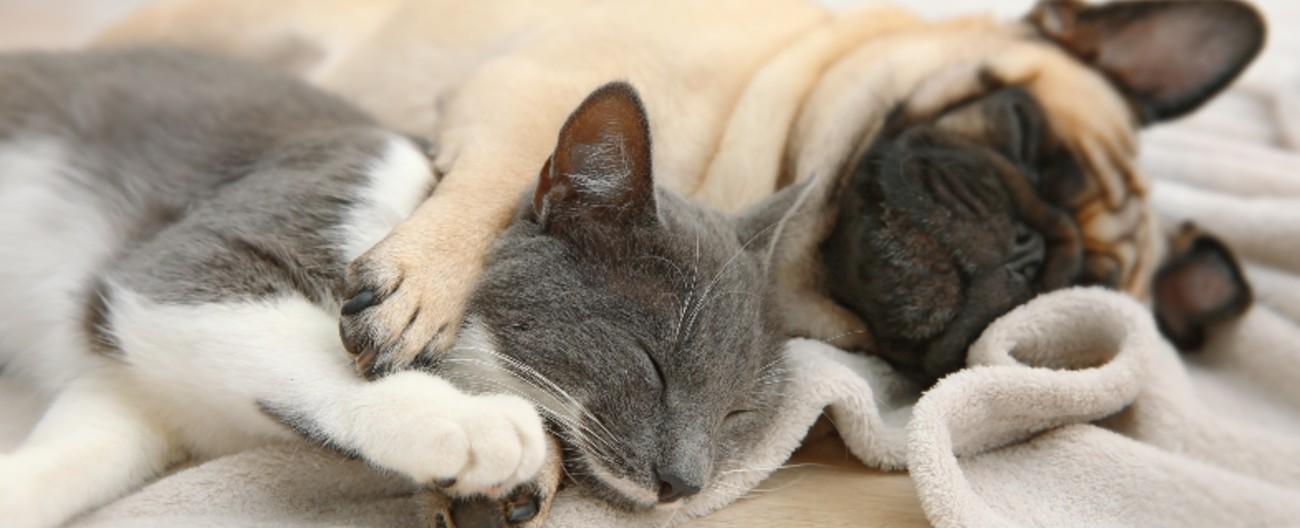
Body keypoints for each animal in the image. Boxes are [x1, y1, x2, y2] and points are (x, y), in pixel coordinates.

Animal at [0, 47, 790, 525]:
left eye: (736, 413)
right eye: (652, 364)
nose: (685, 483)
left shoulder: (131, 395)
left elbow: (85, 449)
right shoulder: (199, 251)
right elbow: (284, 336)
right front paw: (479, 427)